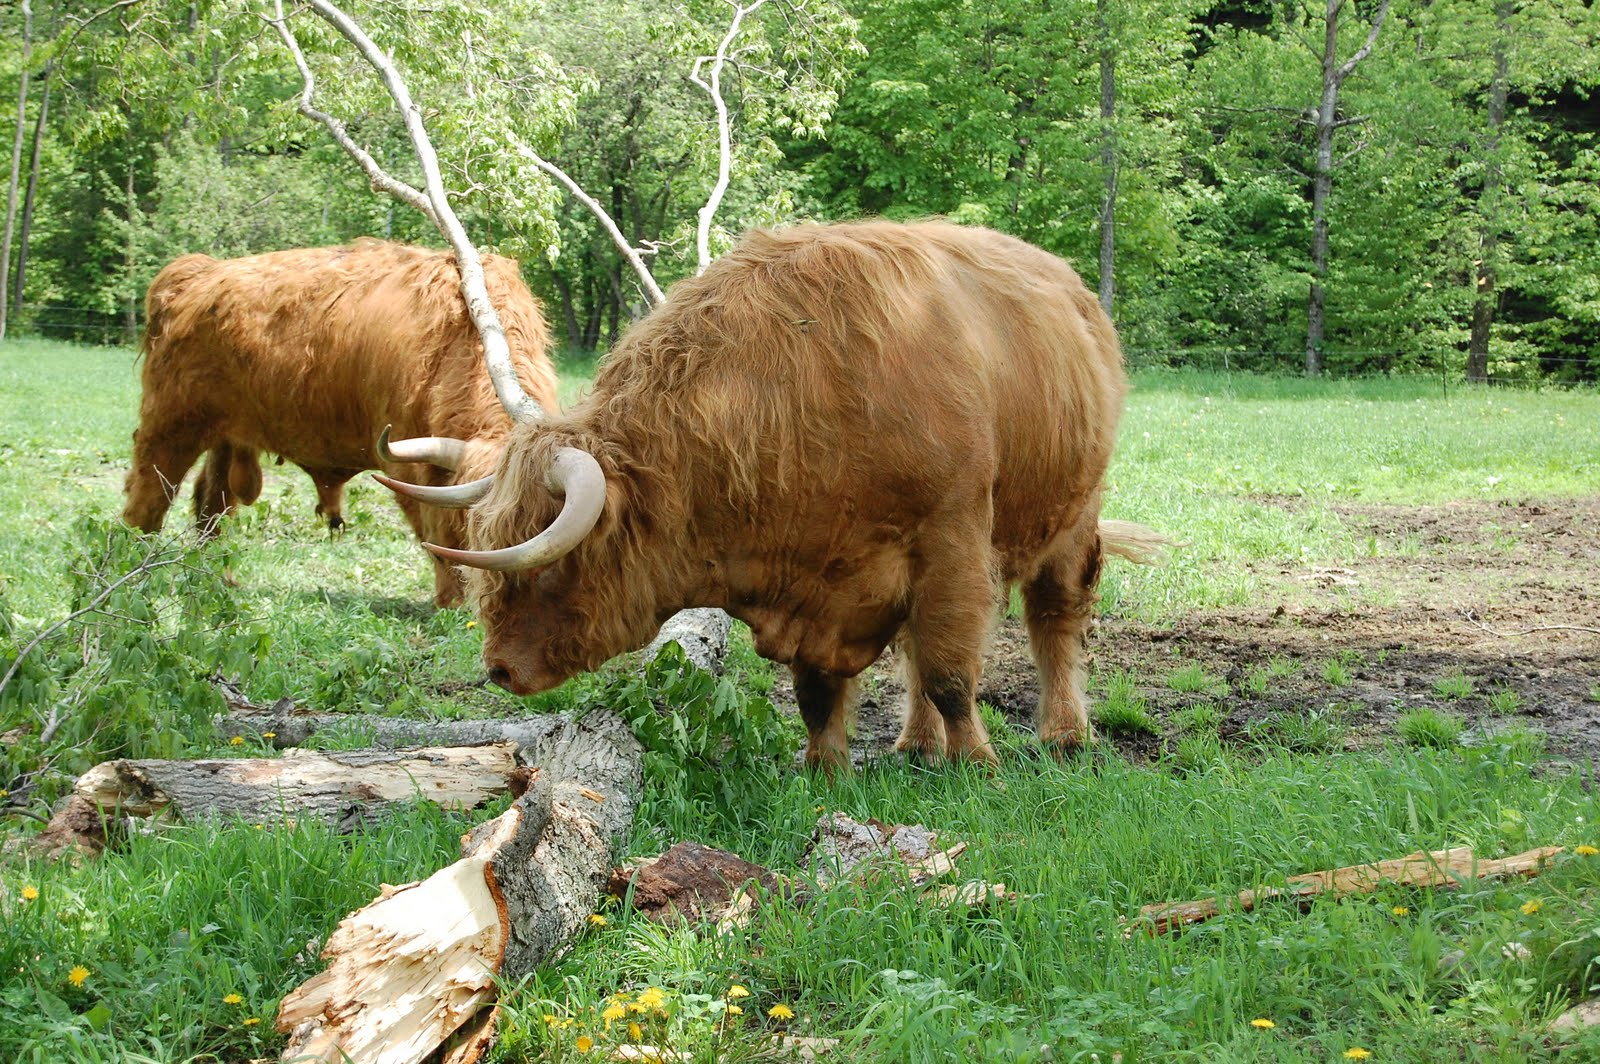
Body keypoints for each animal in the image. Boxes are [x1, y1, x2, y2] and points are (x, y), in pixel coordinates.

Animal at [122, 241, 559, 607]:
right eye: (474, 522)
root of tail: (196, 271)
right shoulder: (411, 469)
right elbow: (435, 538)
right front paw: (453, 602)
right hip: (171, 425)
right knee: (148, 497)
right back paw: (133, 569)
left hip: (225, 436)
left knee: (212, 505)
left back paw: (220, 578)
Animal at [380, 221, 1168, 767]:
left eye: (551, 566)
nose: (498, 668)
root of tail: (1072, 289)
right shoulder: (818, 587)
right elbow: (824, 690)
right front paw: (825, 768)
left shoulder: (952, 545)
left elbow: (951, 672)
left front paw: (979, 762)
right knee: (916, 650)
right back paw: (915, 745)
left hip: (1073, 516)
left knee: (1055, 619)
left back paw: (1064, 734)